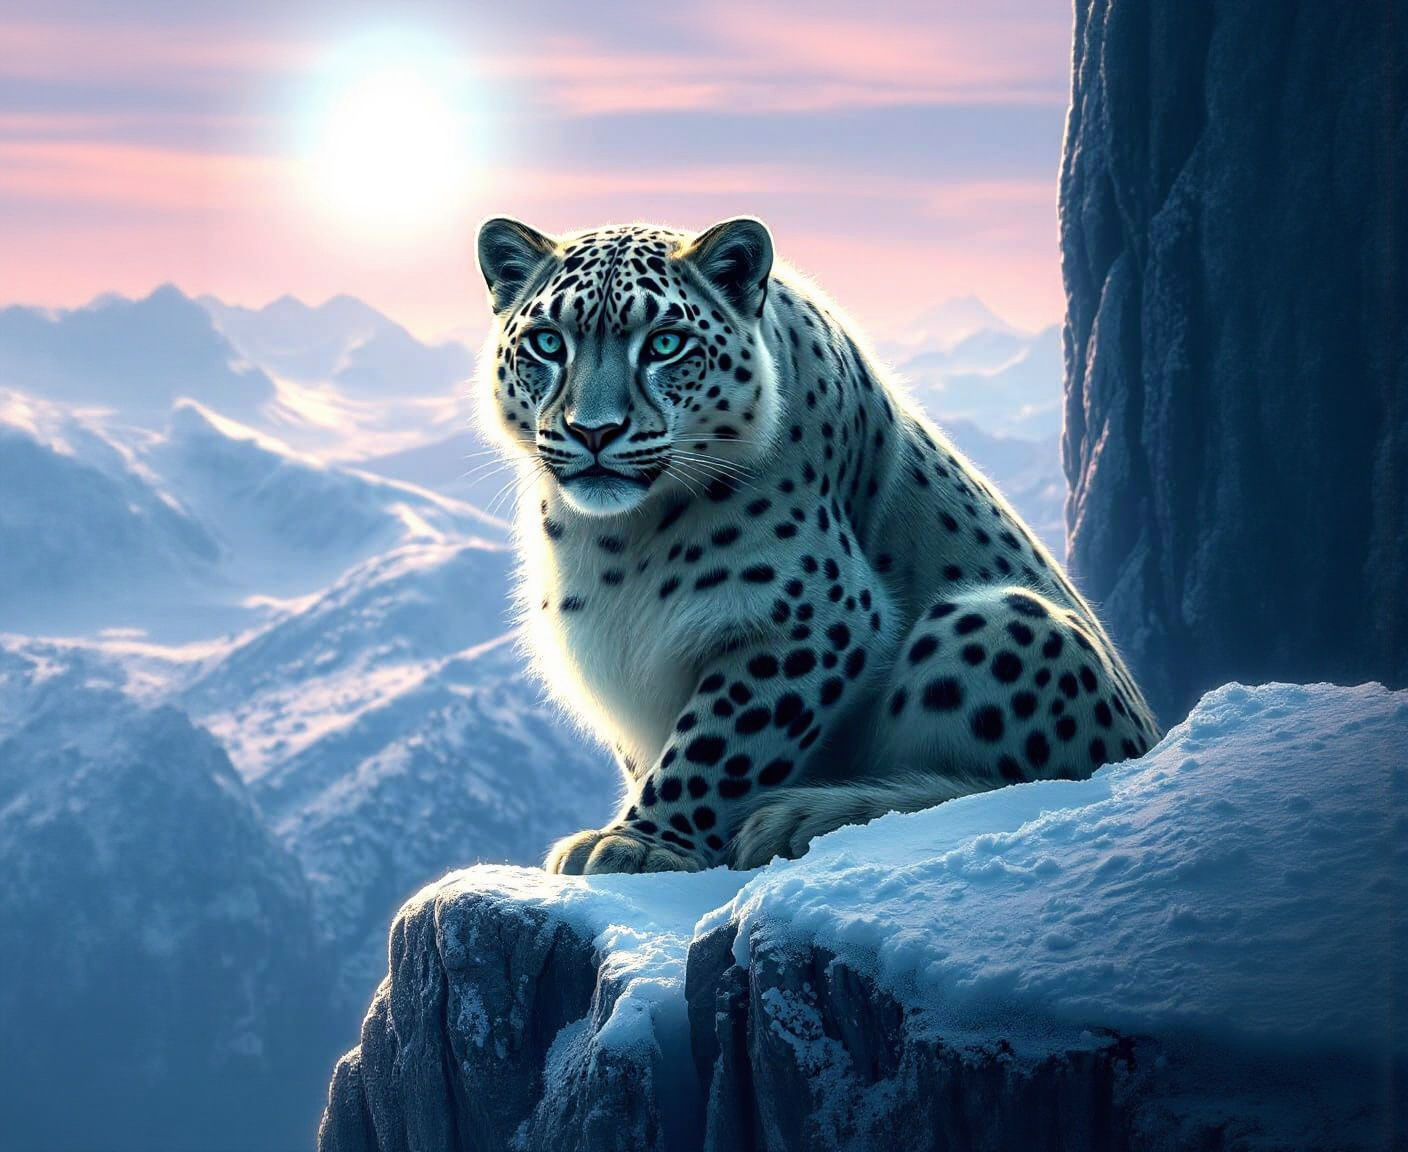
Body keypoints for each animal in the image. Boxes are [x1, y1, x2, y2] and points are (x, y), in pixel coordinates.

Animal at [474, 215, 1161, 874]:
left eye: (666, 343)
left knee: (1017, 788)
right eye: (548, 342)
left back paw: (806, 813)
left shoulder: (814, 620)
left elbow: (717, 743)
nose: (593, 431)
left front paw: (640, 843)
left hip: (998, 617)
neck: (615, 543)